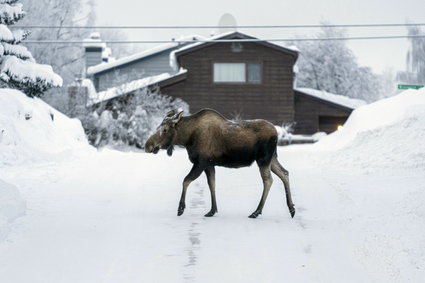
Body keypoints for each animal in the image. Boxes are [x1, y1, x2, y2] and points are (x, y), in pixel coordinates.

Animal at [143, 109, 294, 220]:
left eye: (165, 130)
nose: (147, 146)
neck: (187, 138)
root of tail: (276, 133)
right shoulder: (210, 164)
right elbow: (212, 184)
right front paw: (212, 210)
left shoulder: (201, 162)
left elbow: (185, 180)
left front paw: (181, 208)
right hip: (272, 158)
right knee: (284, 173)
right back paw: (291, 208)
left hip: (263, 159)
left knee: (268, 180)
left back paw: (256, 211)